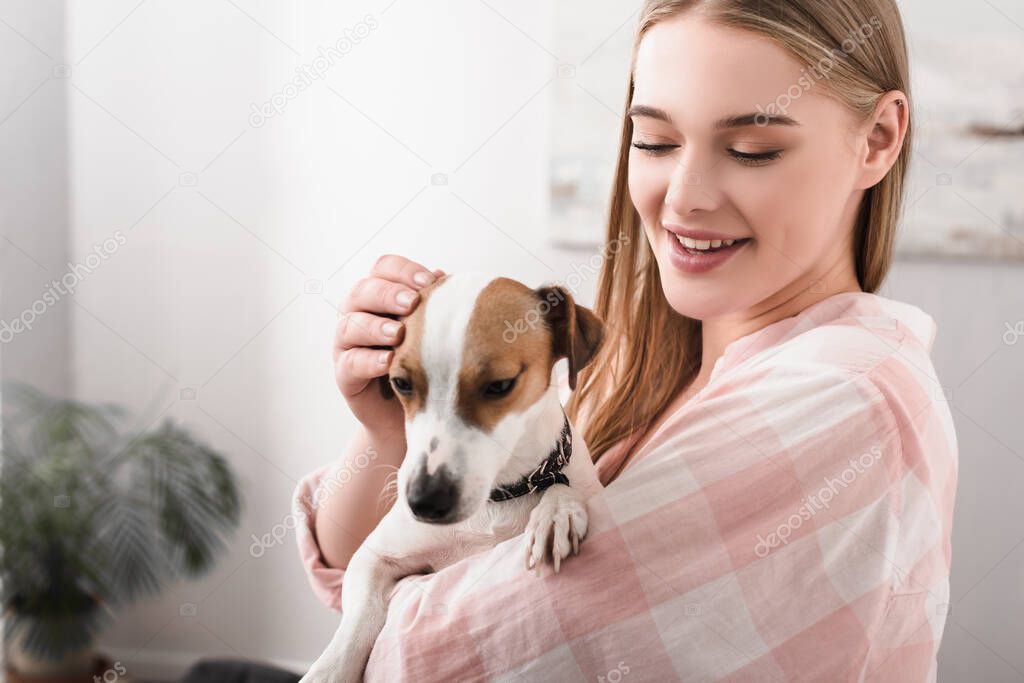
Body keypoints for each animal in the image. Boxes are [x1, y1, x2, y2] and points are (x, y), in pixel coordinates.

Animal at [299, 274, 606, 683]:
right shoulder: (373, 558)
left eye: (500, 385)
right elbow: (358, 620)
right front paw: (330, 669)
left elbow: (562, 487)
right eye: (401, 383)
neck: (497, 497)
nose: (424, 502)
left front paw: (555, 512)